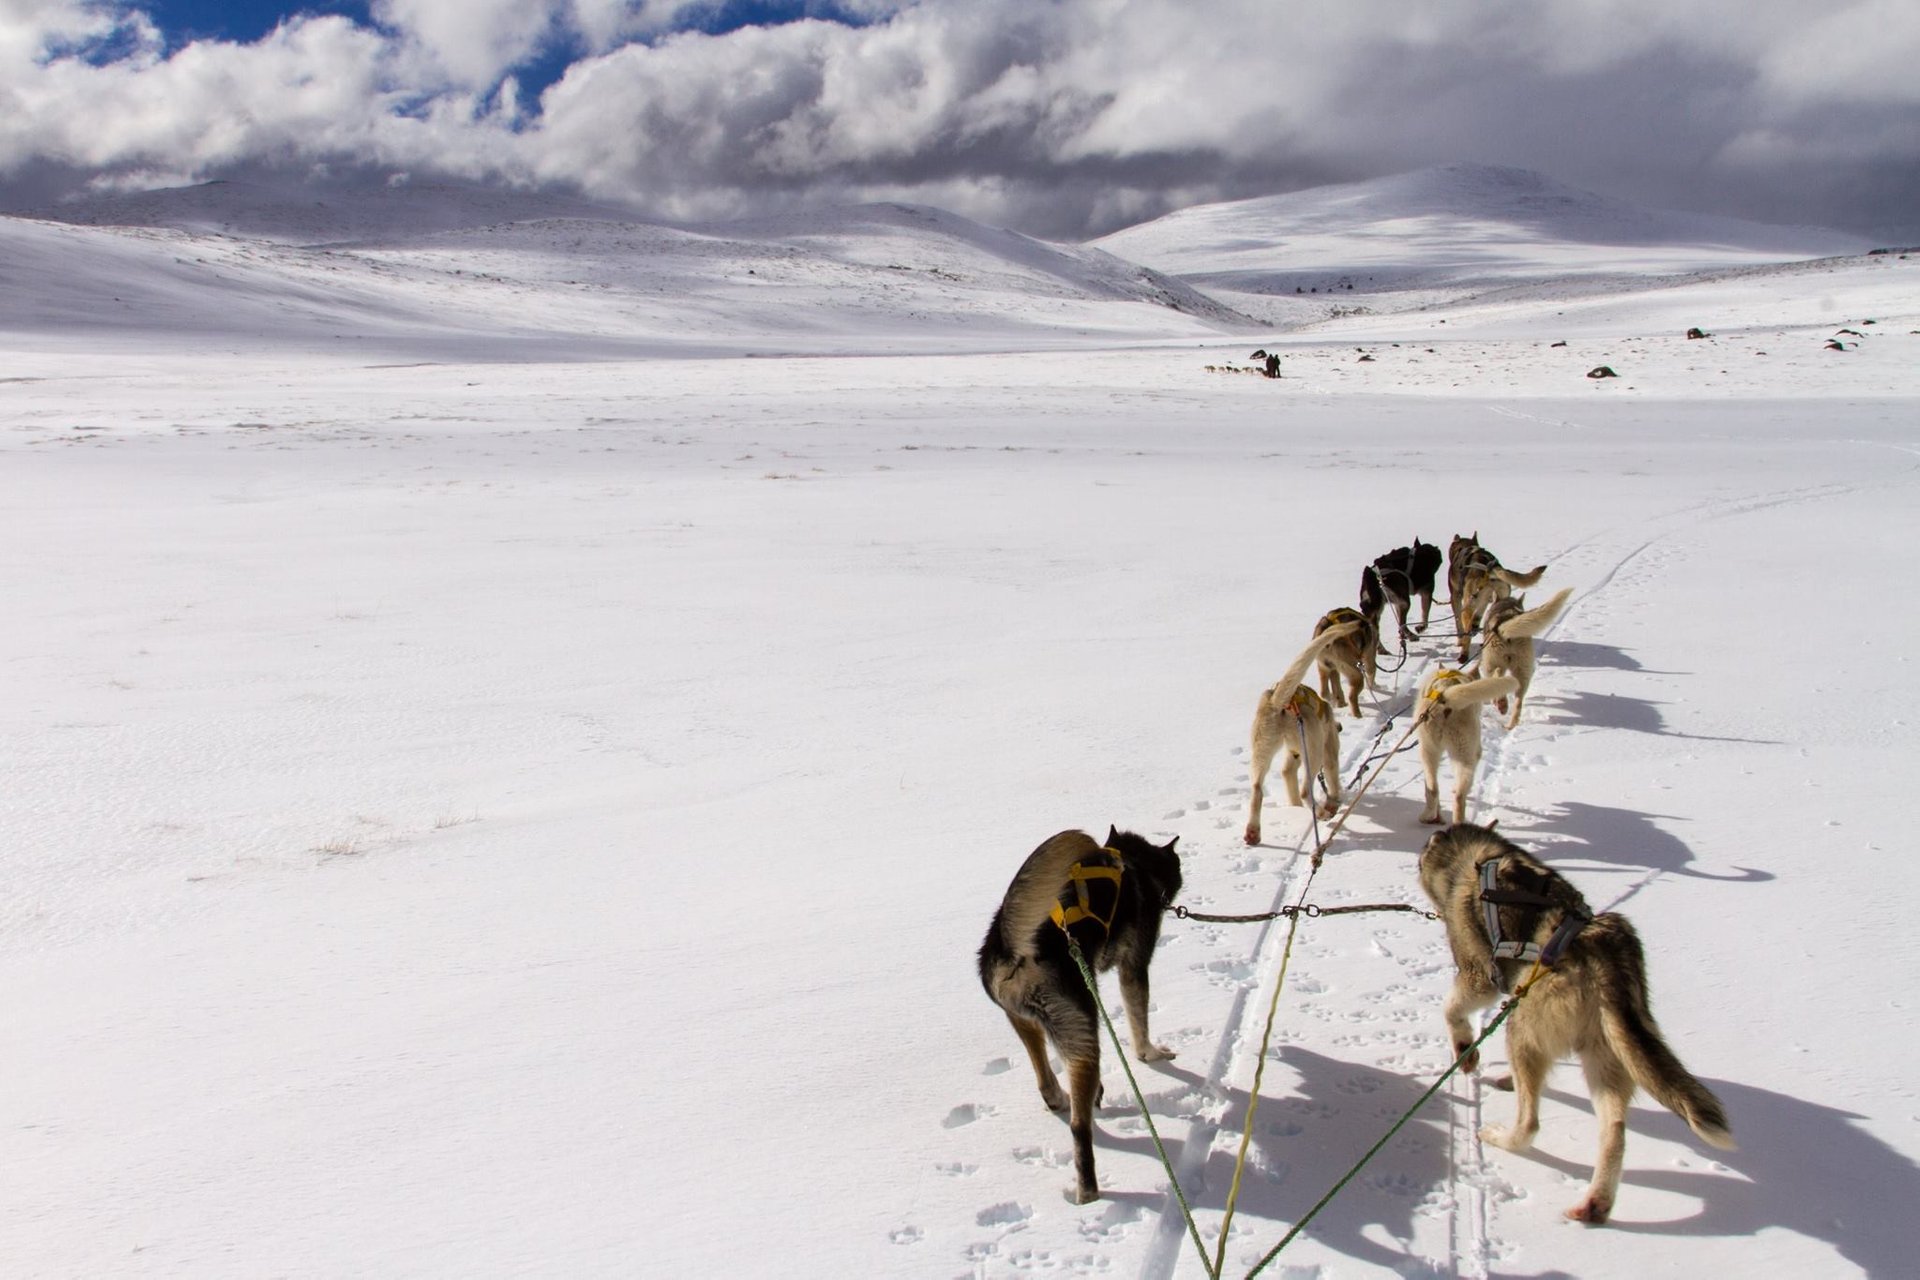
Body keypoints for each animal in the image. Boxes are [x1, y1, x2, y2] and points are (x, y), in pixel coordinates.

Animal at [975, 825, 1182, 1205]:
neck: (1132, 863)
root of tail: (1015, 952)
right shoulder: (1134, 967)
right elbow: (1139, 1022)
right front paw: (1151, 1054)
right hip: (1085, 1033)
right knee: (1079, 1128)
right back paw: (1088, 1194)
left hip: (1026, 1022)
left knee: (1044, 1075)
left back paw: (1060, 1097)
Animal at [1236, 621, 1359, 844]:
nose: (1340, 727)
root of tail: (1280, 703)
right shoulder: (1328, 750)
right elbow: (1332, 778)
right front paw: (1334, 802)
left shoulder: (1291, 758)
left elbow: (1287, 775)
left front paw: (1295, 808)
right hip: (1315, 754)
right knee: (1305, 790)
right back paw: (1321, 812)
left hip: (1262, 751)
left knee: (1257, 790)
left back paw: (1253, 831)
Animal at [1413, 667, 1512, 825]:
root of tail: (1445, 700)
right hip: (1465, 754)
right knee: (1459, 794)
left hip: (1429, 751)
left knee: (1433, 789)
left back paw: (1430, 816)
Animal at [1413, 825, 1743, 1228]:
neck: (1477, 856)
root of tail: (1605, 959)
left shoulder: (1479, 975)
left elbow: (1453, 1010)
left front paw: (1465, 1051)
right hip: (1606, 1055)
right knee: (1614, 1130)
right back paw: (1595, 1202)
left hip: (1522, 1027)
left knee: (1530, 1122)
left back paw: (1503, 1135)